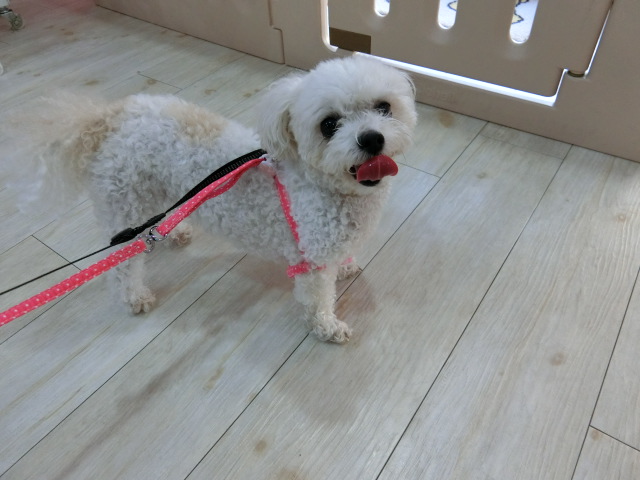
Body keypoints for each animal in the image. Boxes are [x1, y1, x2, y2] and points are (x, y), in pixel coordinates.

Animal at [5, 55, 417, 343]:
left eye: (384, 107)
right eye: (329, 125)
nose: (372, 139)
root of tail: (109, 117)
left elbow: (342, 259)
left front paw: (346, 266)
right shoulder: (311, 262)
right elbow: (318, 302)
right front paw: (328, 329)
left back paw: (172, 233)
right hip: (125, 203)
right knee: (123, 263)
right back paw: (134, 297)